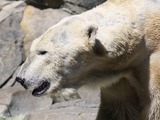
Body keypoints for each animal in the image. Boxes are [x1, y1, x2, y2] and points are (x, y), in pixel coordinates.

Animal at [15, 0, 160, 119]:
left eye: (43, 51)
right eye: (32, 48)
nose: (20, 78)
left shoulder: (150, 63)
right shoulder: (118, 78)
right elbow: (117, 109)